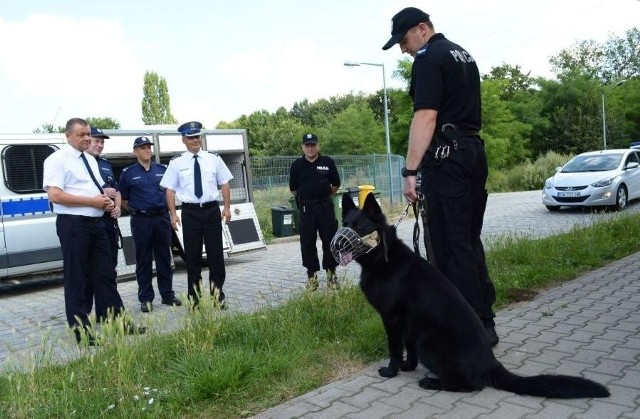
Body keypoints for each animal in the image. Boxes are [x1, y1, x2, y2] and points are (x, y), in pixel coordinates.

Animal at [336, 194, 608, 400]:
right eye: (344, 223)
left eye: (359, 227)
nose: (337, 244)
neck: (383, 257)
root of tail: (492, 364)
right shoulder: (407, 323)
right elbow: (407, 349)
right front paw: (407, 367)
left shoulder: (391, 319)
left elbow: (394, 348)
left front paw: (391, 371)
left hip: (428, 342)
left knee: (470, 385)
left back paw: (433, 383)